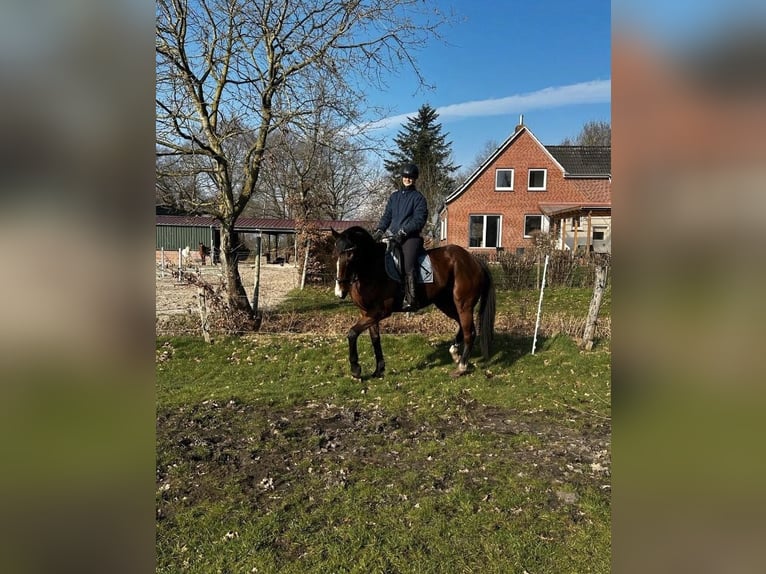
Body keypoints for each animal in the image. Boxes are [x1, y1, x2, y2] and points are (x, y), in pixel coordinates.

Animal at [331, 226, 496, 379]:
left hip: (464, 305)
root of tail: (474, 260)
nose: (340, 291)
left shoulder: (380, 311)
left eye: (350, 254)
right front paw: (378, 370)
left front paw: (356, 369)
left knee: (470, 332)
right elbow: (375, 339)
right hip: (446, 303)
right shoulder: (367, 312)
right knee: (462, 325)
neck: (372, 267)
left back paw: (461, 367)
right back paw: (455, 354)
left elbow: (352, 333)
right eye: (336, 254)